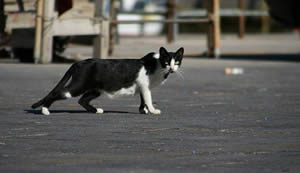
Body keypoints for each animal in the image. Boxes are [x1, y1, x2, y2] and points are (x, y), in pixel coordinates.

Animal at [31, 46, 184, 115]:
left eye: (176, 62)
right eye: (166, 62)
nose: (172, 69)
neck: (157, 65)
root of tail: (79, 62)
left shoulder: (142, 87)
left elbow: (143, 100)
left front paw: (143, 110)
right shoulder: (145, 87)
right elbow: (148, 99)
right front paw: (152, 110)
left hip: (95, 89)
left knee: (82, 100)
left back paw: (95, 110)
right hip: (77, 86)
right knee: (57, 93)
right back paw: (45, 110)